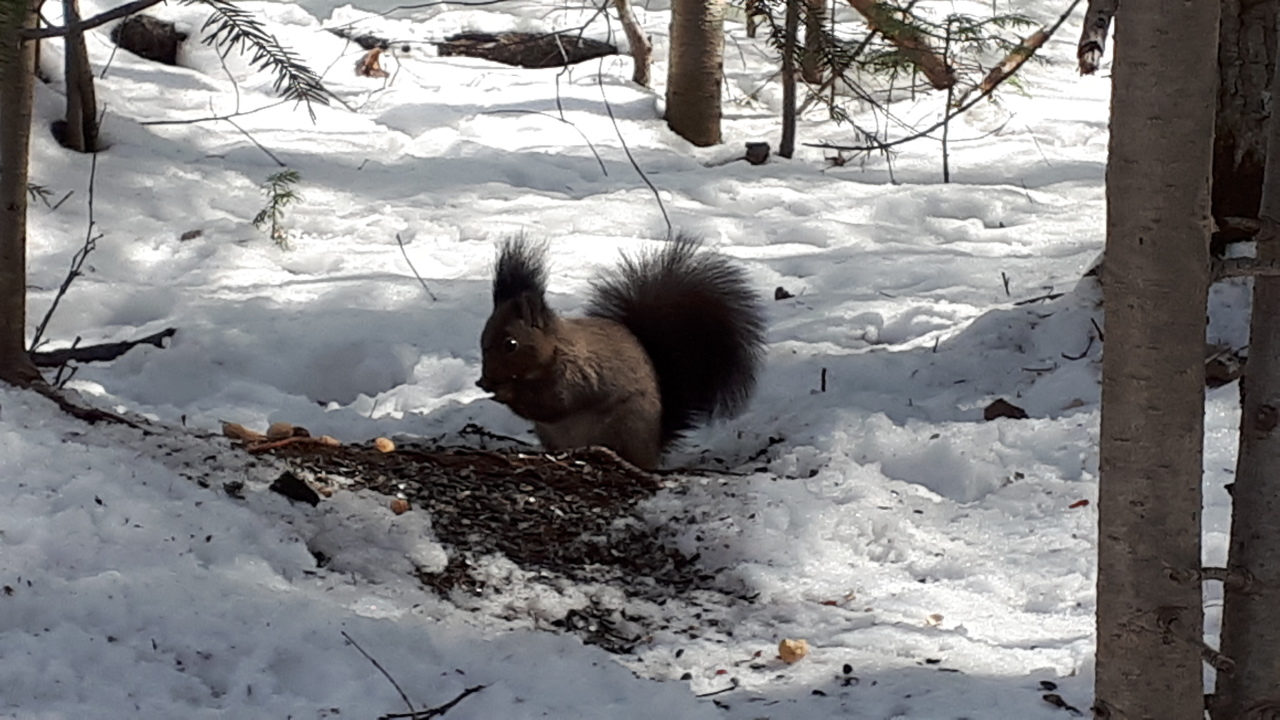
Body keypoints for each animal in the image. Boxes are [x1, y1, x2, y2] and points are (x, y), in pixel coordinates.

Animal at [476, 234, 762, 471]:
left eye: (511, 344)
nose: (484, 378)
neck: (556, 350)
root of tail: (653, 448)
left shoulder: (577, 375)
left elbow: (554, 402)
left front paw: (505, 391)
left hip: (626, 426)